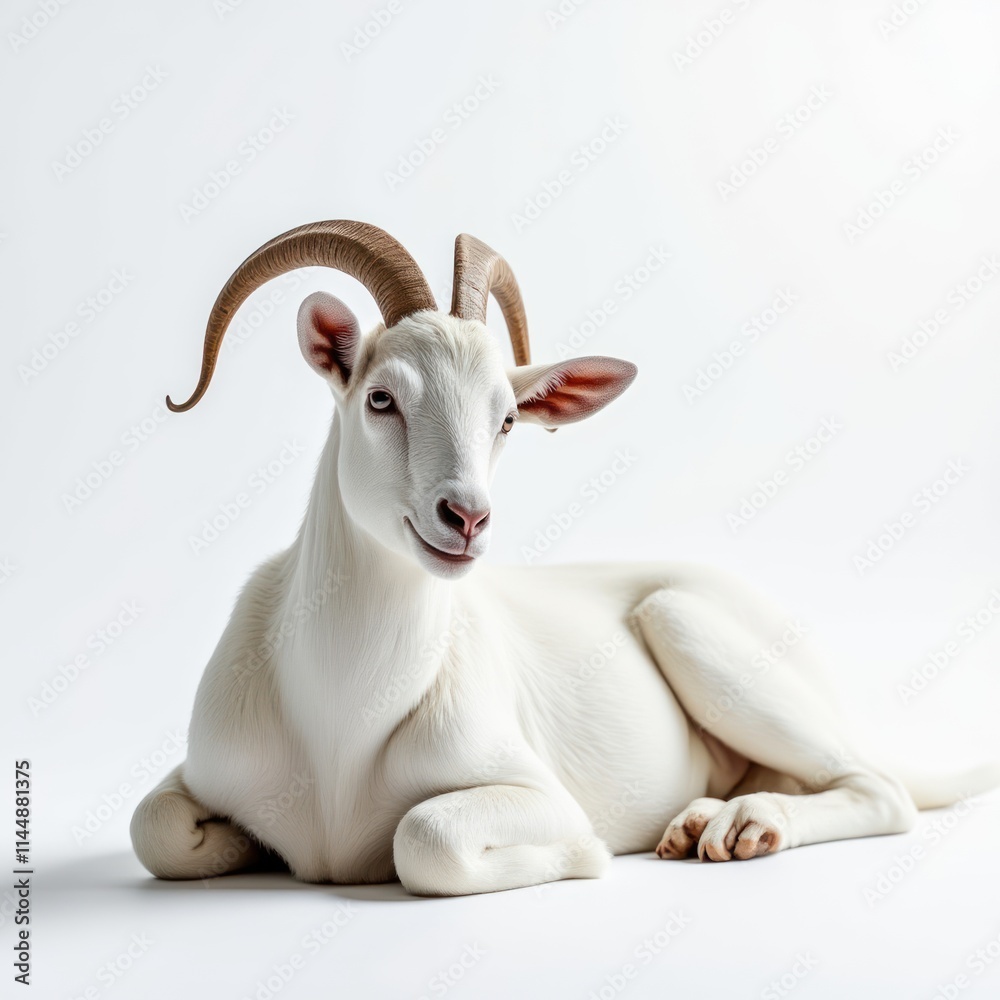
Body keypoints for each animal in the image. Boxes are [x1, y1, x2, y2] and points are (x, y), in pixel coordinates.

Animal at [131, 220, 998, 895]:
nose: (467, 518)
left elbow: (426, 838)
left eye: (508, 418)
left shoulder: (530, 789)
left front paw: (578, 857)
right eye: (382, 399)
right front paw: (239, 843)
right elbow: (154, 826)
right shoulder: (204, 772)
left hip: (694, 629)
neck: (344, 718)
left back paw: (749, 824)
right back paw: (702, 821)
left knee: (883, 790)